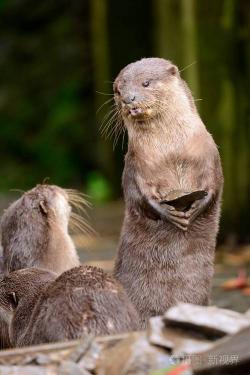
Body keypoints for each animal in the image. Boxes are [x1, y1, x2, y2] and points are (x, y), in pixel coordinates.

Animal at [112, 57, 224, 328]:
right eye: (118, 90)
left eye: (146, 82)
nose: (128, 99)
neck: (171, 152)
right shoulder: (136, 165)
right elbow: (139, 196)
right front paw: (168, 213)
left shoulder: (209, 153)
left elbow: (214, 184)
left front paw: (195, 208)